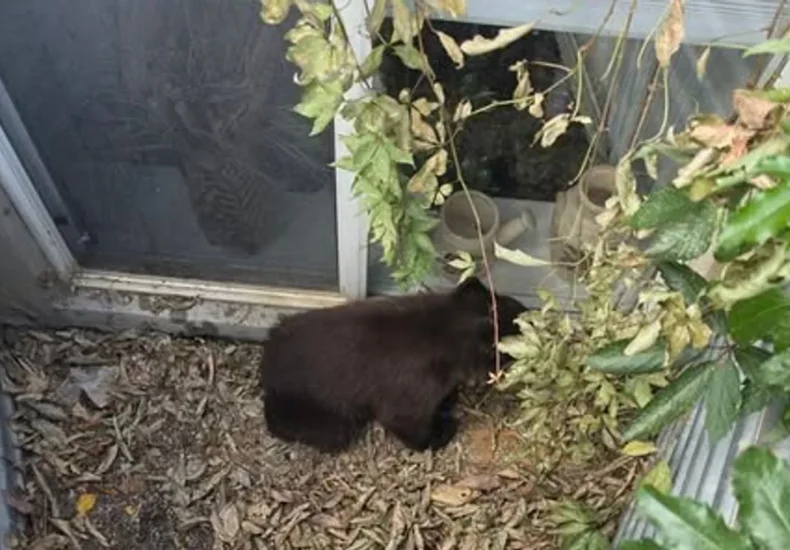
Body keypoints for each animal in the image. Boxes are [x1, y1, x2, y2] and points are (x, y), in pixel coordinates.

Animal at [259, 277, 527, 453]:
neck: (447, 326)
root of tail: (266, 366)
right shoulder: (408, 404)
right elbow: (418, 432)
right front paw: (444, 429)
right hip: (329, 425)